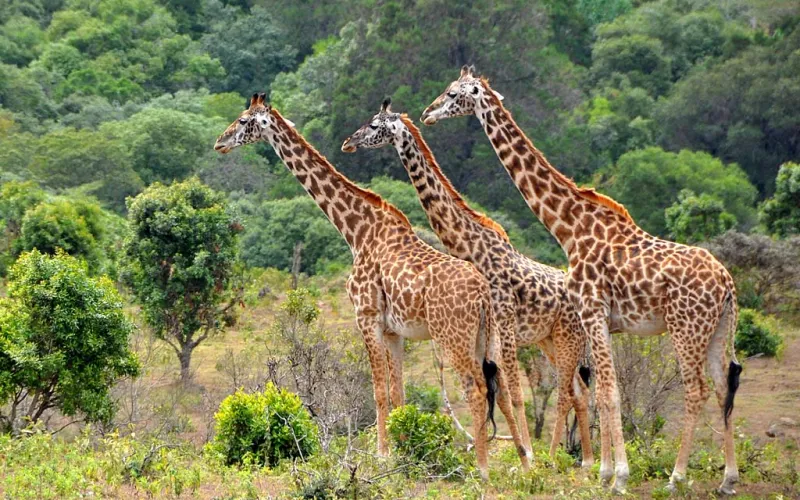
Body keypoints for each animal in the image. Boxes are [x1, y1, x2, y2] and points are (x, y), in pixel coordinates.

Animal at [213, 92, 531, 477]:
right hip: (489, 336)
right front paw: (405, 454)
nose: (220, 142)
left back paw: (482, 468)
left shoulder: (366, 316)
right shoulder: (394, 330)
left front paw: (381, 456)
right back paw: (523, 459)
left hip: (452, 337)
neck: (356, 230)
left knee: (476, 389)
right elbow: (399, 393)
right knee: (501, 387)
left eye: (244, 121)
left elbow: (378, 391)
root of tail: (484, 294)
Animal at [341, 97, 594, 467]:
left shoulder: (501, 325)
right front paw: (517, 454)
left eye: (374, 125)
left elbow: (512, 394)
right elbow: (502, 392)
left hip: (565, 338)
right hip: (550, 340)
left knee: (566, 391)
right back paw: (587, 460)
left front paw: (526, 459)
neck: (469, 244)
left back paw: (554, 458)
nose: (349, 142)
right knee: (579, 388)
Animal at [421, 66, 742, 495]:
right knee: (723, 387)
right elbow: (600, 391)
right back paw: (728, 479)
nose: (427, 112)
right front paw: (604, 471)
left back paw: (676, 477)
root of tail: (727, 285)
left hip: (685, 328)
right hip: (718, 330)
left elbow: (607, 392)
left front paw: (618, 477)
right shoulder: (596, 319)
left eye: (454, 93)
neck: (569, 229)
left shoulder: (592, 312)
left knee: (696, 390)